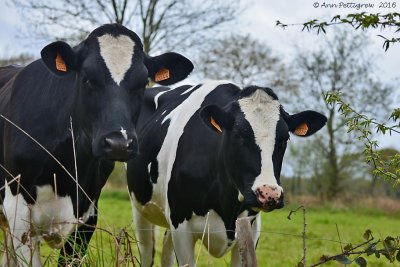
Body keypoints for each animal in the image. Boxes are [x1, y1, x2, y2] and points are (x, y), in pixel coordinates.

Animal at [126, 80, 326, 266]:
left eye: (285, 139)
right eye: (238, 135)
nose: (269, 194)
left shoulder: (251, 229)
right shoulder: (181, 226)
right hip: (140, 209)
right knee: (147, 252)